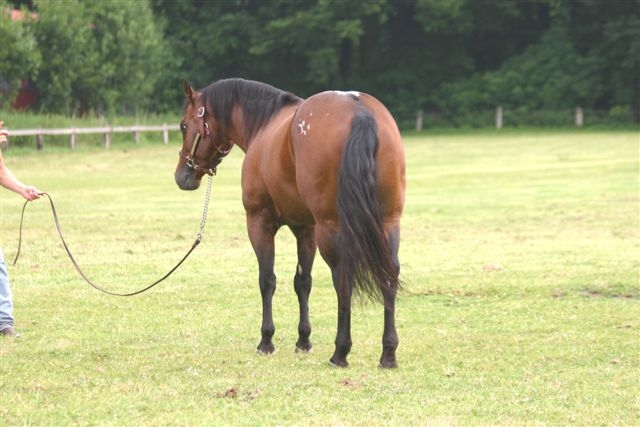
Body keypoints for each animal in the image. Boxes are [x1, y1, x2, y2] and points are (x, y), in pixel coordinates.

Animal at [175, 78, 405, 368]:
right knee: (389, 275)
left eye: (184, 125)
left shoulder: (260, 223)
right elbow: (302, 281)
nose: (182, 175)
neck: (264, 125)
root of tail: (360, 112)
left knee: (343, 278)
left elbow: (267, 280)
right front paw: (303, 340)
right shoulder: (306, 229)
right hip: (388, 223)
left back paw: (340, 352)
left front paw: (266, 340)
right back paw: (388, 352)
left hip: (331, 229)